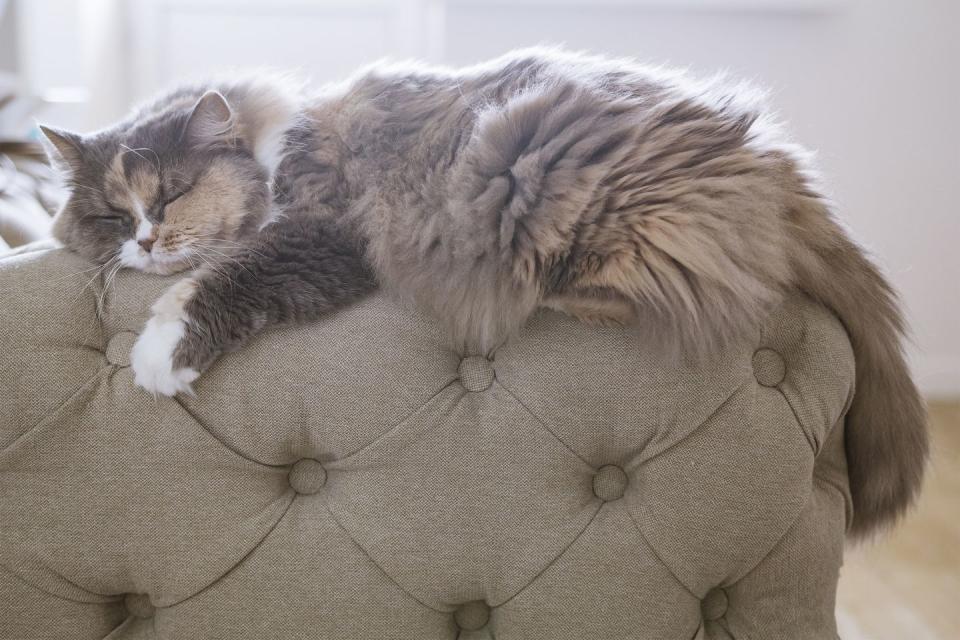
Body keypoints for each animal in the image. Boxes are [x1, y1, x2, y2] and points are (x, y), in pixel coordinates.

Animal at [41, 47, 928, 536]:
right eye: (112, 214)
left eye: (172, 194)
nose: (143, 242)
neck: (271, 140)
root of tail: (769, 155)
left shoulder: (323, 236)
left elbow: (223, 279)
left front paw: (157, 354)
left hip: (551, 190)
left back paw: (552, 294)